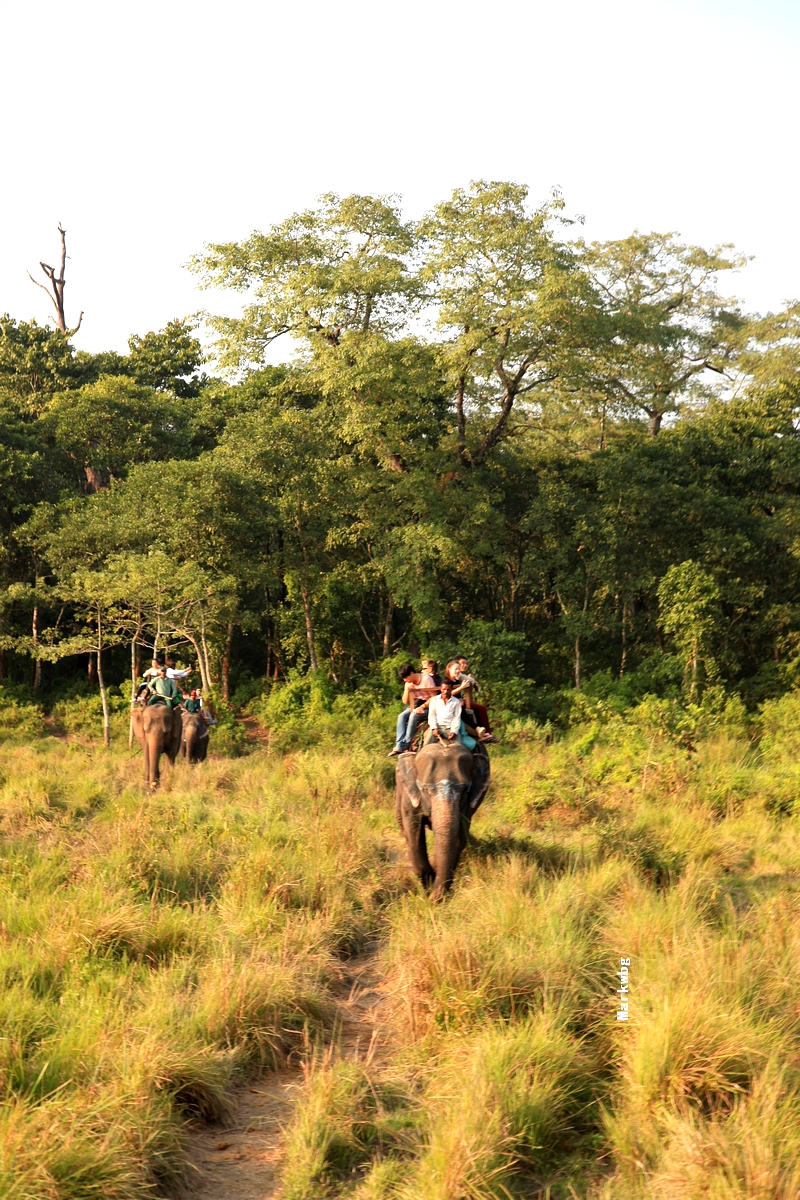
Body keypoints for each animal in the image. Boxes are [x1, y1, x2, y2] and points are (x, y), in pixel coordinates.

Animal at [395, 739, 491, 902]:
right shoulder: (410, 796)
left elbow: (460, 834)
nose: (433, 900)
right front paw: (427, 881)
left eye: (465, 790)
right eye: (425, 789)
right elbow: (414, 831)